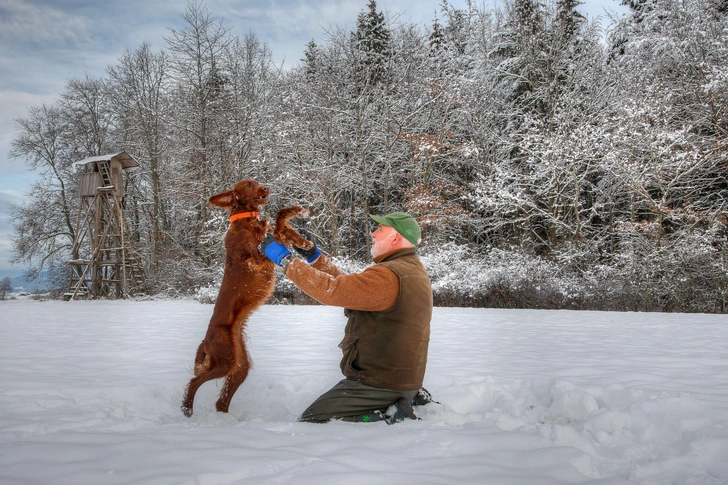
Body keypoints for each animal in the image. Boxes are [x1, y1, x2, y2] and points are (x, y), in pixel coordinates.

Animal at [181, 180, 310, 414]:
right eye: (249, 185)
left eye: (257, 183)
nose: (266, 188)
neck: (246, 219)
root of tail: (206, 340)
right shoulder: (257, 257)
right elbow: (278, 225)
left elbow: (281, 224)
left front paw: (302, 238)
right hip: (224, 360)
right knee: (194, 382)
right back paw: (187, 409)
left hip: (240, 364)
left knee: (221, 400)